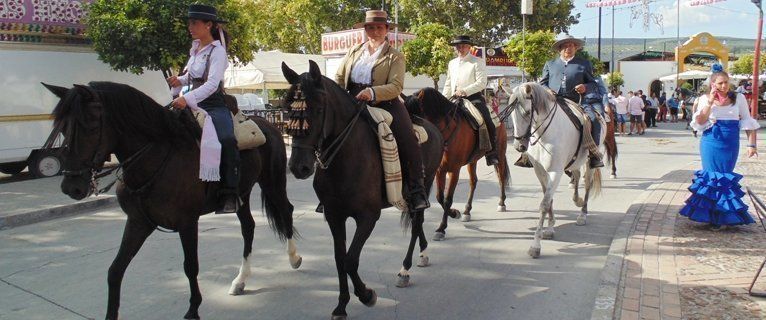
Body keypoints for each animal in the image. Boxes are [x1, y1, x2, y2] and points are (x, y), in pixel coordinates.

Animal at [42, 83, 304, 320]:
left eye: (90, 126)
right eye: (62, 128)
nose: (71, 187)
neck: (155, 157)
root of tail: (269, 126)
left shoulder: (187, 222)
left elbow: (190, 265)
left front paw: (193, 309)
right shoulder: (138, 222)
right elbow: (115, 270)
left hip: (273, 181)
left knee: (286, 211)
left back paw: (294, 258)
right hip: (242, 193)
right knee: (248, 227)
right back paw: (240, 281)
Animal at [280, 60, 444, 320]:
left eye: (318, 109)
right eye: (287, 108)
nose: (299, 167)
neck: (346, 156)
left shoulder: (368, 216)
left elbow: (350, 260)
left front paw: (367, 295)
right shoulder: (334, 216)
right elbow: (340, 259)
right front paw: (341, 306)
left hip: (425, 185)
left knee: (417, 221)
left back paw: (405, 269)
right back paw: (422, 254)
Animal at [404, 87, 512, 240]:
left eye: (415, 119)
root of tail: (498, 117)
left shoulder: (454, 170)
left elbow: (448, 199)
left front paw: (442, 228)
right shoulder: (440, 170)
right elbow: (439, 197)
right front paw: (455, 213)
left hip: (501, 155)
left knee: (501, 177)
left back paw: (501, 203)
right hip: (472, 161)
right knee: (473, 182)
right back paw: (467, 211)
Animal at [510, 82, 608, 258]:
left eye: (527, 112)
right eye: (511, 116)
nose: (519, 146)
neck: (544, 135)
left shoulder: (555, 171)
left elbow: (544, 204)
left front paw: (535, 245)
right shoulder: (540, 171)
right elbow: (548, 200)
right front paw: (549, 228)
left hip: (589, 162)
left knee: (587, 185)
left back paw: (582, 214)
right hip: (574, 162)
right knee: (576, 175)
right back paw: (577, 200)